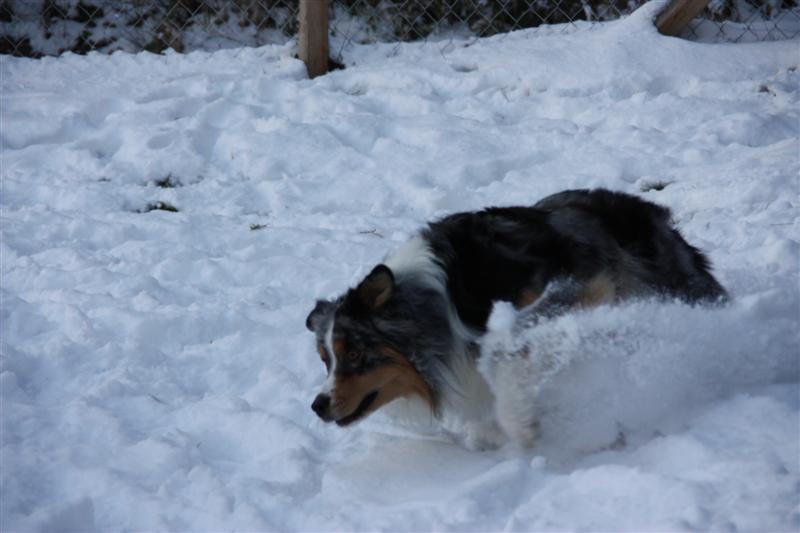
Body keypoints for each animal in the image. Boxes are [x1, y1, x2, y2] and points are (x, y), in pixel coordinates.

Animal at [305, 189, 727, 448]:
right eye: (326, 360)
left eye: (354, 353)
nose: (318, 406)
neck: (438, 305)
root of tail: (652, 212)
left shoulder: (577, 286)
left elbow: (503, 352)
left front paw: (521, 425)